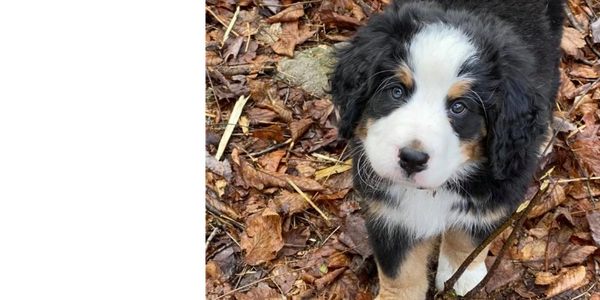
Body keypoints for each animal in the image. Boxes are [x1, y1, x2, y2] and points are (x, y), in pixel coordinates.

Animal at [330, 0, 564, 300]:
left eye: (459, 107)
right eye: (396, 91)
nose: (412, 159)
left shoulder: (496, 192)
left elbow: (467, 239)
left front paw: (463, 280)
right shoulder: (390, 212)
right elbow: (400, 270)